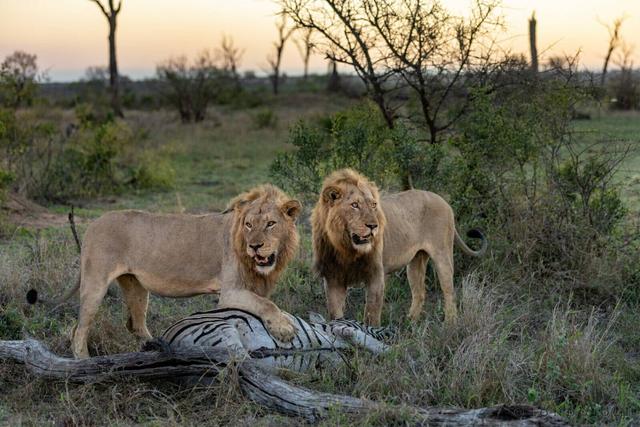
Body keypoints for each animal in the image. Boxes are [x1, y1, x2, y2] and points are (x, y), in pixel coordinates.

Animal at [33, 184, 304, 358]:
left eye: (271, 224)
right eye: (248, 225)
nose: (255, 246)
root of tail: (93, 223)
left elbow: (265, 303)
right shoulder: (230, 292)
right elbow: (265, 304)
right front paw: (285, 330)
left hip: (135, 286)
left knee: (135, 324)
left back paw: (158, 349)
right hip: (95, 283)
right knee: (79, 329)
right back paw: (85, 362)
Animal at [310, 169, 484, 326]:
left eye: (373, 205)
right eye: (354, 205)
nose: (373, 226)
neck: (346, 248)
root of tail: (443, 200)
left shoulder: (376, 274)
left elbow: (371, 314)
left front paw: (370, 334)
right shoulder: (333, 278)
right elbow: (335, 313)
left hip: (443, 255)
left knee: (449, 292)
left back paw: (449, 325)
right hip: (416, 261)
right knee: (419, 293)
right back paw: (409, 323)